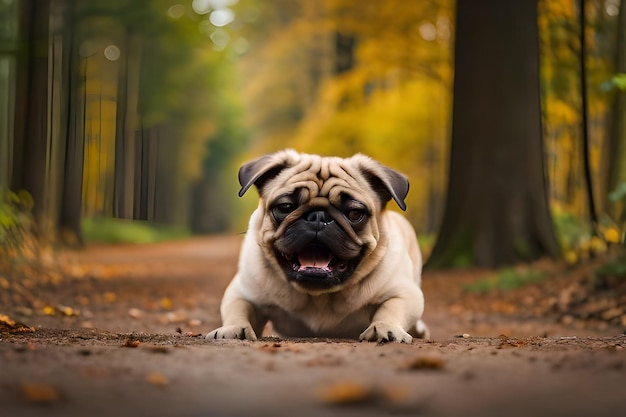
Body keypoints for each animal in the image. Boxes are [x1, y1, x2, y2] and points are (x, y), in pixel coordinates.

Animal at [207, 150, 426, 342]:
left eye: (355, 213)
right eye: (285, 207)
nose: (318, 216)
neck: (318, 297)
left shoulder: (406, 293)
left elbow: (391, 308)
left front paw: (385, 328)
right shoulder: (242, 292)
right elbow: (238, 309)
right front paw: (232, 328)